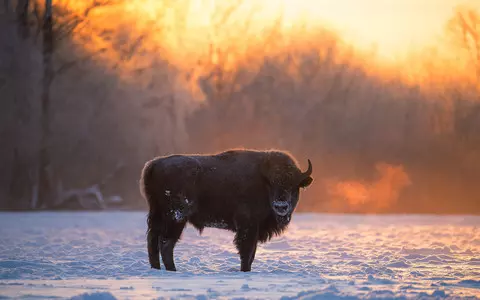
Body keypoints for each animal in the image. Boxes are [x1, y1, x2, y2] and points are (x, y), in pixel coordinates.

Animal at [139, 149, 314, 272]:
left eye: (294, 184)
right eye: (272, 183)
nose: (281, 206)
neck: (262, 181)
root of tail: (154, 165)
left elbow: (252, 253)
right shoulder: (248, 226)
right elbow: (247, 252)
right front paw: (245, 271)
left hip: (157, 215)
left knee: (153, 241)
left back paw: (157, 269)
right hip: (176, 217)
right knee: (166, 243)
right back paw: (173, 270)